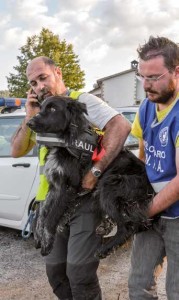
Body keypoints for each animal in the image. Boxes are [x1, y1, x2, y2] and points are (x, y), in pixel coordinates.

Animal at [27, 95, 155, 258]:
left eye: (53, 109)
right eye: (41, 107)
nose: (29, 123)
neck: (64, 141)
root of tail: (150, 187)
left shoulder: (67, 186)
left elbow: (52, 216)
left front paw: (47, 243)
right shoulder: (55, 185)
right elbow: (43, 209)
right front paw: (38, 233)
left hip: (109, 185)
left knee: (128, 226)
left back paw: (104, 249)